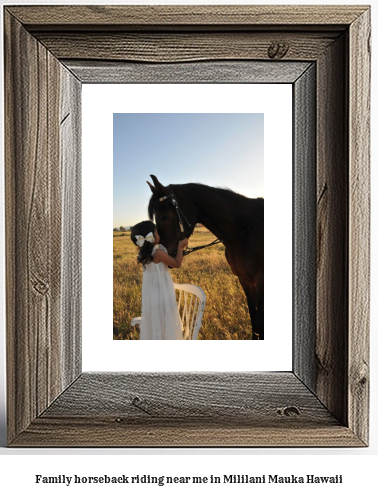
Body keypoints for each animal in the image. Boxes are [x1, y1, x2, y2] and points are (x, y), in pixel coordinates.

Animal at [147, 173, 262, 340]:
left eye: (164, 216)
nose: (163, 254)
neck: (245, 230)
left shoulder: (260, 282)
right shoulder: (245, 281)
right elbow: (254, 317)